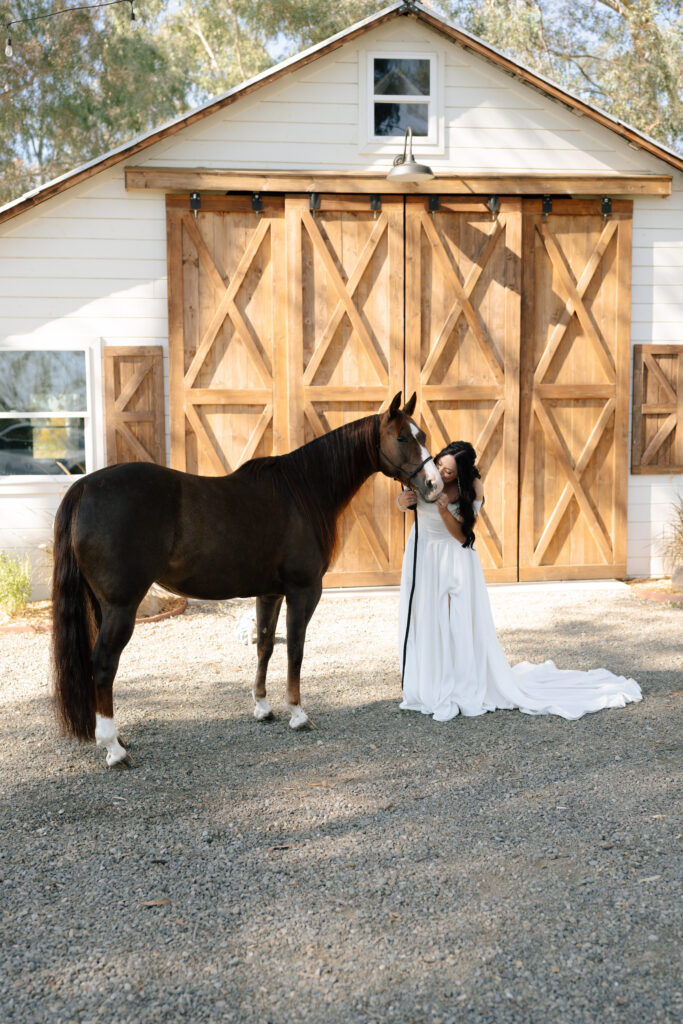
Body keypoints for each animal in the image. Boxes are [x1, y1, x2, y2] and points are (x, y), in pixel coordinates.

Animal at [51, 392, 443, 767]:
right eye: (402, 437)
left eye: (423, 435)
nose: (434, 485)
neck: (304, 490)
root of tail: (84, 486)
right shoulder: (303, 591)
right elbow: (296, 649)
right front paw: (298, 714)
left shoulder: (269, 593)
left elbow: (265, 646)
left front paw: (263, 708)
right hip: (122, 606)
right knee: (104, 664)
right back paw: (114, 750)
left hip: (103, 606)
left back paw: (118, 739)